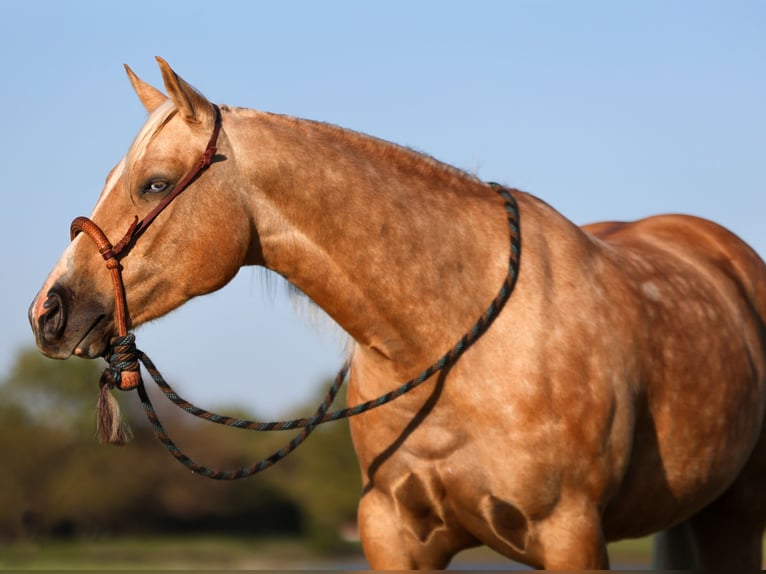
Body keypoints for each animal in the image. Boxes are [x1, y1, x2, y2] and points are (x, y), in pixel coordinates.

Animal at [27, 59, 764, 572]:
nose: (48, 313)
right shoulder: (394, 532)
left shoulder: (570, 533)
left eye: (153, 184)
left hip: (733, 516)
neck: (453, 342)